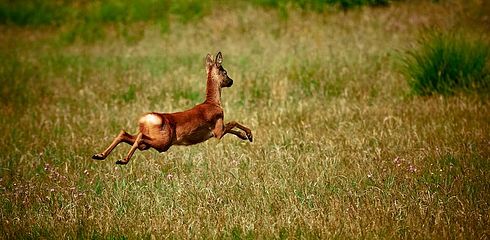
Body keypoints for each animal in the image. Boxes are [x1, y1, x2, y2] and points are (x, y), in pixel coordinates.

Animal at [92, 52, 253, 165]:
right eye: (225, 72)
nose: (231, 81)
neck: (212, 103)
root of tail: (147, 119)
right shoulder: (218, 129)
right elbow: (233, 122)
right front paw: (249, 135)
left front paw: (244, 136)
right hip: (163, 142)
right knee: (139, 137)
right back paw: (122, 160)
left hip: (150, 143)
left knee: (124, 133)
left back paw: (100, 155)